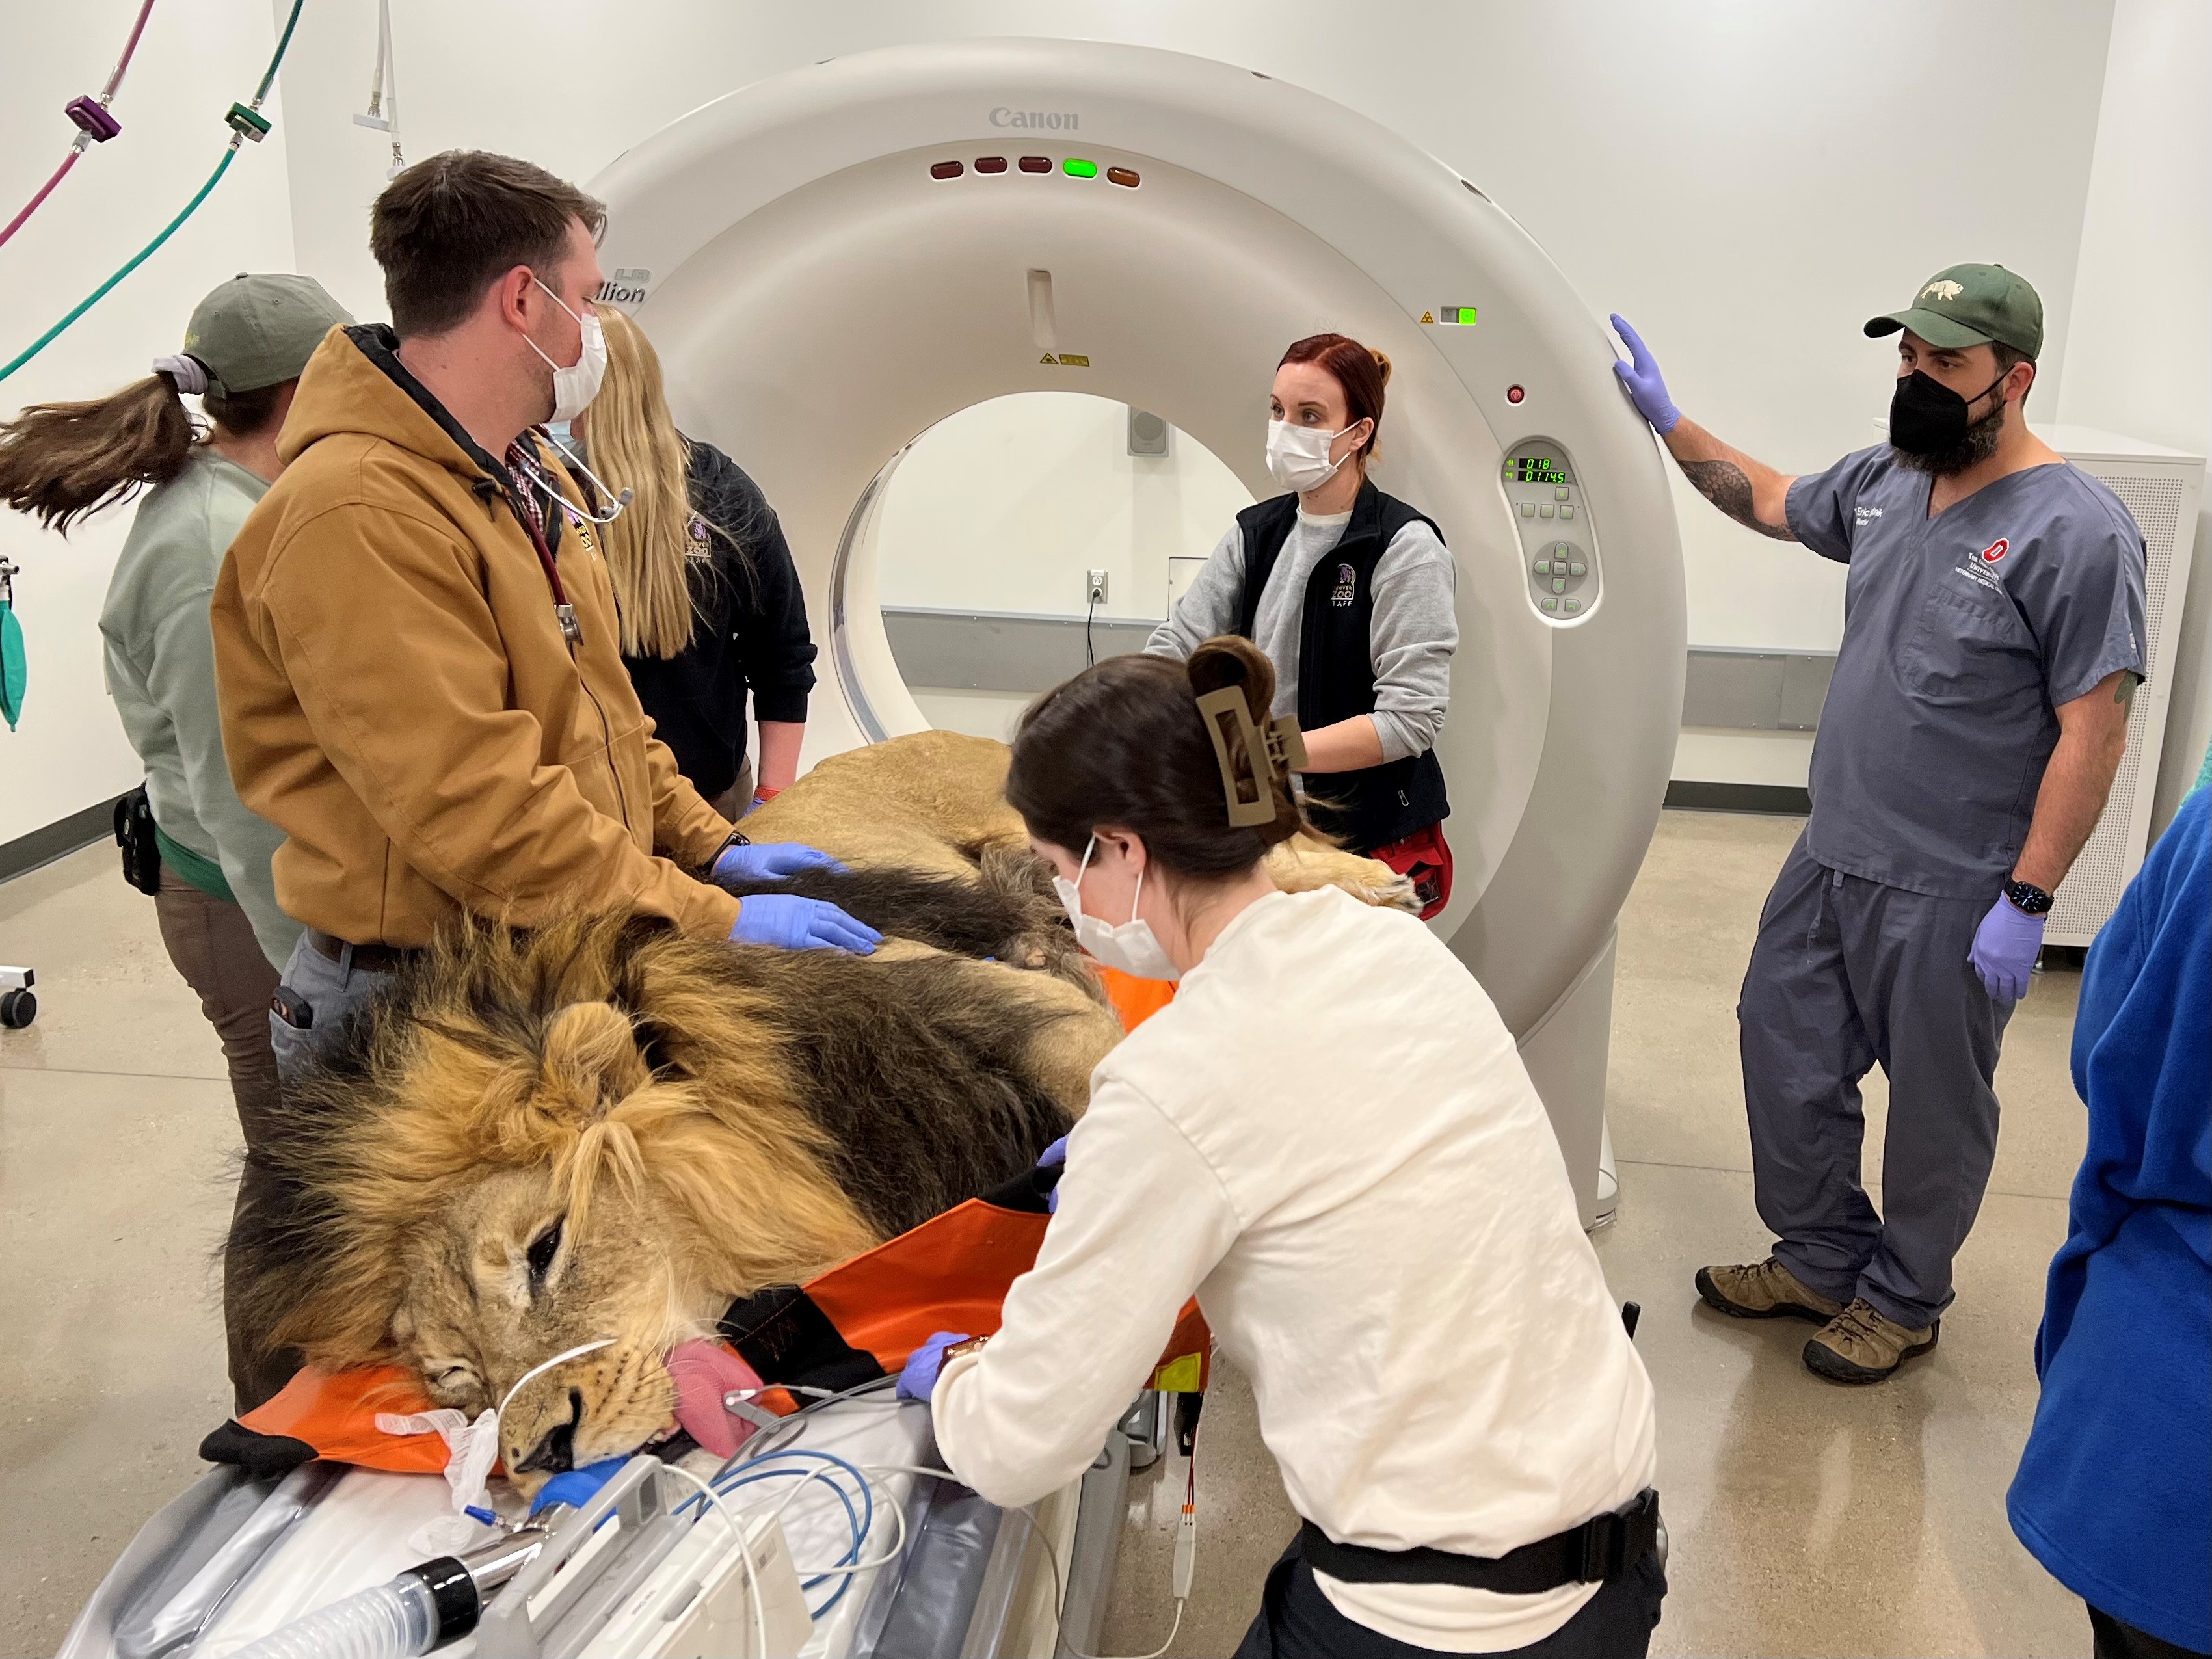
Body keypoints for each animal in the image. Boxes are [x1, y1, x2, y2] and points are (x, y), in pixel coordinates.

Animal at [220, 725, 1398, 1478]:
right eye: (454, 1376)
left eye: (546, 1250)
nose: (537, 1454)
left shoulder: (1026, 1013)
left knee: (1263, 851)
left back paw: (1377, 883)